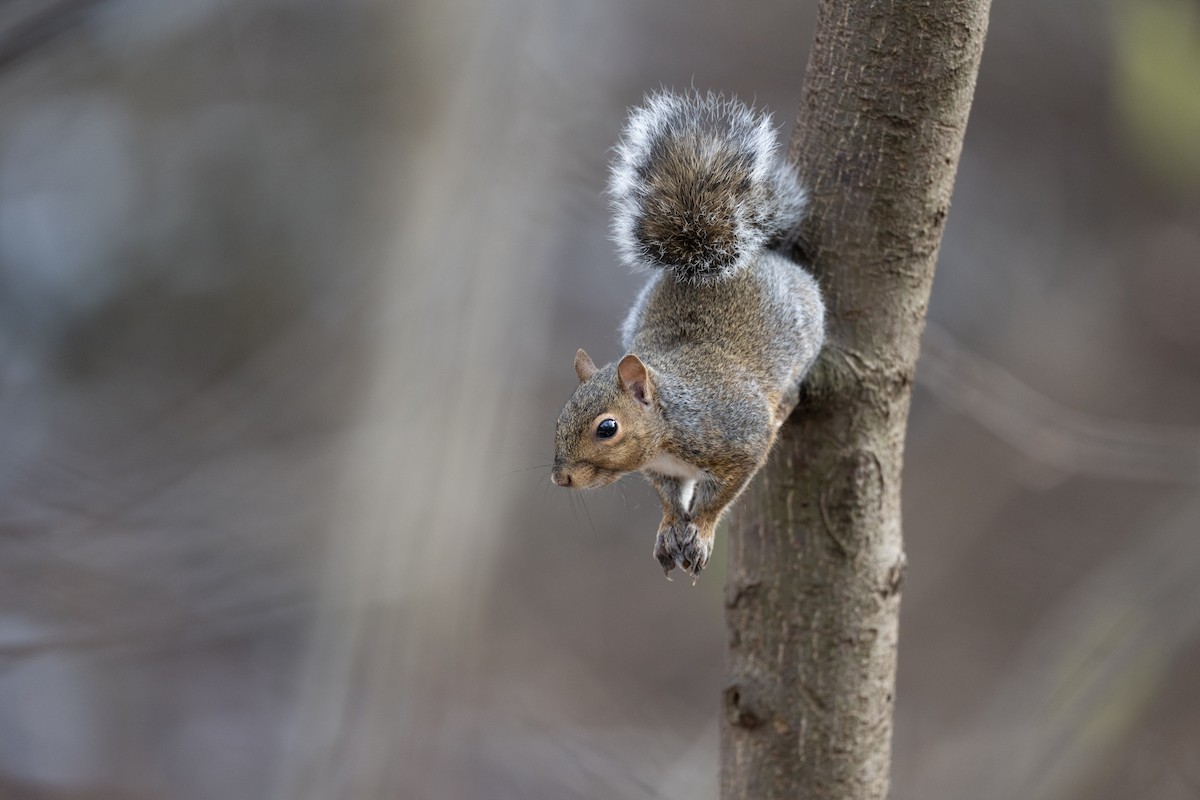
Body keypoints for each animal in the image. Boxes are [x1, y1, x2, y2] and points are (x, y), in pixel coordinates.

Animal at [552, 90, 825, 580]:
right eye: (561, 414)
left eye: (607, 428)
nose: (560, 477)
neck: (670, 426)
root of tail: (765, 256)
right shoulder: (665, 472)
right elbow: (668, 499)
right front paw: (669, 527)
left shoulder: (741, 438)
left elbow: (722, 496)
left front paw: (701, 529)